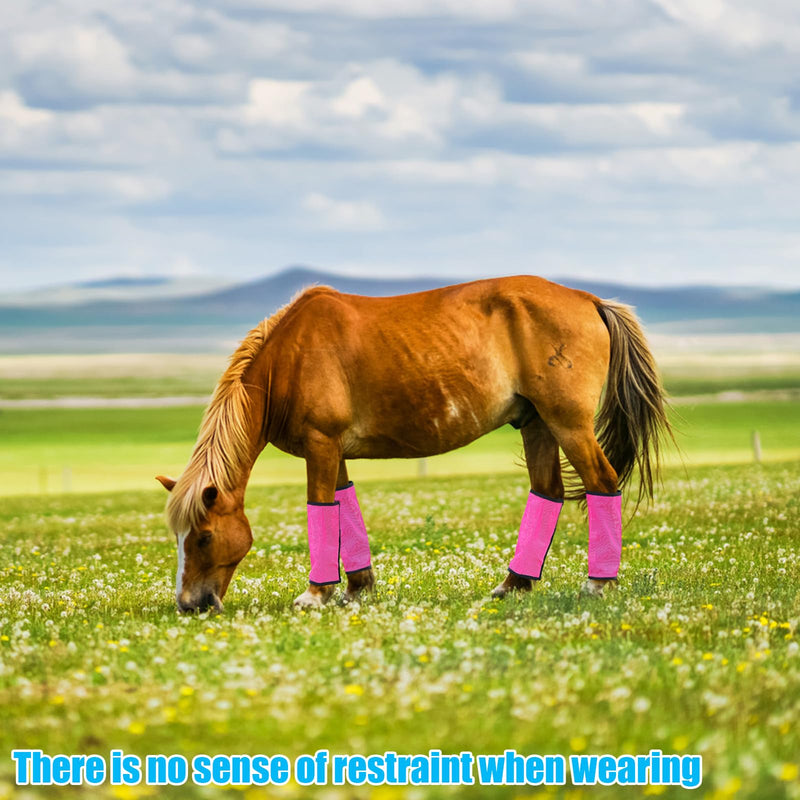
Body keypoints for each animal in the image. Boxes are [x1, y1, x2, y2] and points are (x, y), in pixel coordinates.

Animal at [156, 275, 671, 612]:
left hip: (568, 423)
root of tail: (588, 298)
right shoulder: (332, 449)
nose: (189, 605)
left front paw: (316, 594)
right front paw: (358, 589)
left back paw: (597, 584)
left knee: (602, 482)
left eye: (203, 536)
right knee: (547, 492)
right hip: (537, 424)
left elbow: (321, 508)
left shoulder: (320, 445)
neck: (289, 360)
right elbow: (344, 506)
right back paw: (513, 585)